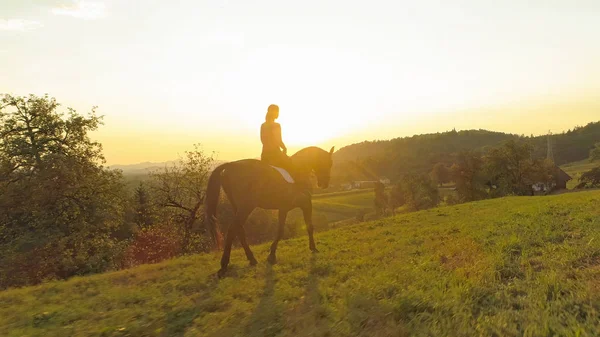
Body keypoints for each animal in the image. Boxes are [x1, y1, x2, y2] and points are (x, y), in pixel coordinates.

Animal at [204, 146, 336, 276]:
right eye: (329, 162)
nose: (324, 183)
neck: (298, 170)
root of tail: (230, 165)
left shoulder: (284, 208)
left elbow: (281, 230)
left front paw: (272, 255)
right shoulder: (306, 204)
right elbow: (308, 227)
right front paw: (313, 248)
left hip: (237, 206)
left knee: (239, 230)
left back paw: (252, 259)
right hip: (246, 207)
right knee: (232, 229)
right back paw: (224, 265)